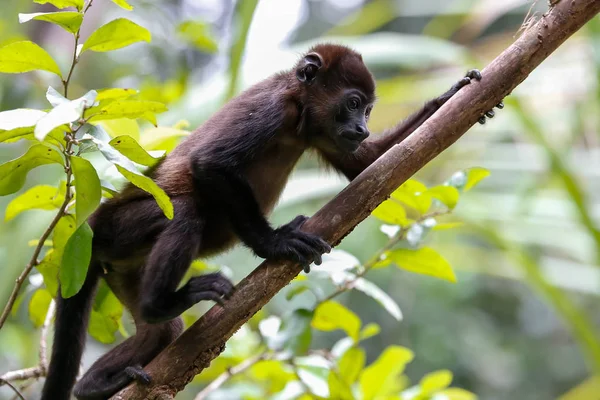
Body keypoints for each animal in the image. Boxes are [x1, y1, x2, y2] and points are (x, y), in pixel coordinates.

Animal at [38, 43, 496, 400]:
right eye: (353, 104)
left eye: (368, 110)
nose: (363, 127)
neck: (299, 112)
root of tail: (89, 227)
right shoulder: (272, 108)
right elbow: (210, 164)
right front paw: (274, 243)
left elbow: (366, 164)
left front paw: (453, 98)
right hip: (120, 228)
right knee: (185, 213)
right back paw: (160, 303)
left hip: (121, 267)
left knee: (161, 334)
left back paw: (94, 385)